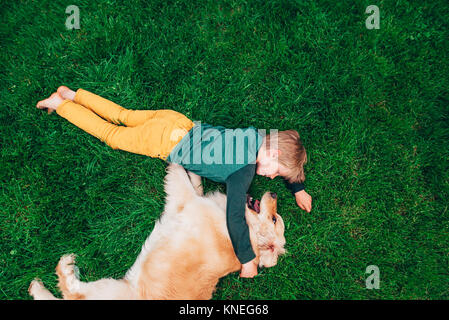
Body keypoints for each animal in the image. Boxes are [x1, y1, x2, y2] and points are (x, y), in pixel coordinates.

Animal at [28, 165, 288, 300]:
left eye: (274, 218)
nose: (275, 193)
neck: (248, 232)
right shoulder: (188, 201)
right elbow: (195, 184)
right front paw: (195, 172)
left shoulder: (187, 201)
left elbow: (181, 180)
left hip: (109, 288)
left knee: (70, 291)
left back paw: (60, 270)